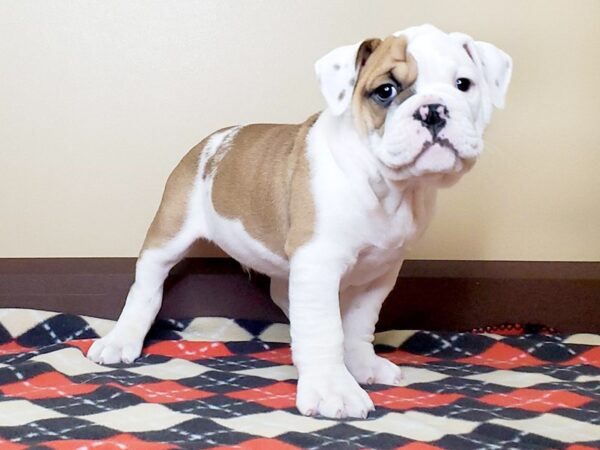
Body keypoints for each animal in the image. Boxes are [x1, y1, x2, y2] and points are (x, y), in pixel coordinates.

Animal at [88, 24, 510, 418]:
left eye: (463, 85)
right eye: (385, 91)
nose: (433, 109)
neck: (390, 187)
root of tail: (211, 140)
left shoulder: (379, 273)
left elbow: (357, 323)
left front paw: (360, 364)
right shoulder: (318, 261)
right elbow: (325, 329)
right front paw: (332, 389)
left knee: (288, 297)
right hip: (169, 233)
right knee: (146, 286)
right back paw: (121, 340)